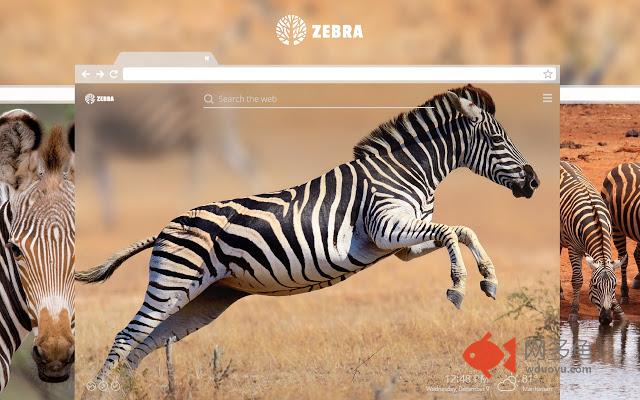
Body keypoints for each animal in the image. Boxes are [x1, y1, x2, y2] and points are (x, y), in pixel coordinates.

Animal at [76, 84, 540, 387]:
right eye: (497, 139)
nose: (534, 182)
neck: (408, 172)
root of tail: (162, 230)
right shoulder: (387, 226)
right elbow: (452, 231)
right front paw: (460, 286)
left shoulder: (400, 246)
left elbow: (460, 231)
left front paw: (488, 279)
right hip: (174, 281)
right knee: (127, 336)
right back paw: (101, 391)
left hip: (203, 298)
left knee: (144, 344)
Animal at [560, 160, 625, 325]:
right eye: (595, 286)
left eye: (614, 286)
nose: (607, 319)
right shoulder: (574, 248)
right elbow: (577, 280)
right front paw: (573, 313)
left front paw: (620, 313)